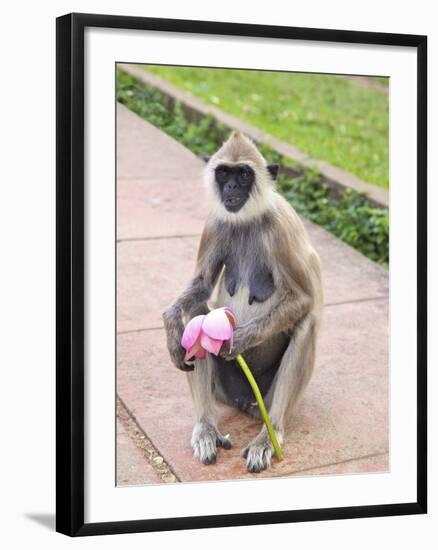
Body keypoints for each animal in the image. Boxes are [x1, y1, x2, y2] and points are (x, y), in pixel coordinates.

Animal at [163, 130, 324, 474]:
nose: (232, 189)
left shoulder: (281, 223)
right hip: (223, 391)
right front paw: (170, 322)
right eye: (224, 173)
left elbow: (304, 299)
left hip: (266, 394)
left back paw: (269, 432)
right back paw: (206, 427)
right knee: (196, 313)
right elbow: (201, 287)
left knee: (306, 323)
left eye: (244, 175)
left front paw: (236, 341)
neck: (249, 219)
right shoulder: (215, 223)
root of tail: (243, 401)